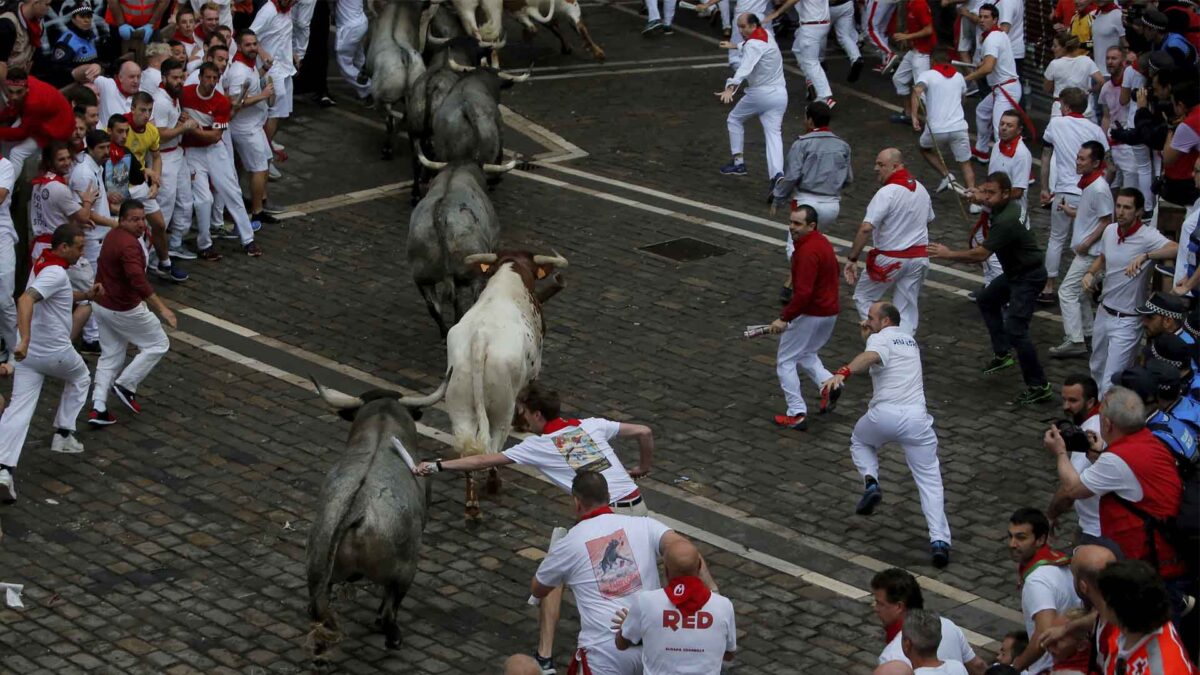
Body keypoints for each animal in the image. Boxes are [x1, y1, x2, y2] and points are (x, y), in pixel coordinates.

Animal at [304, 372, 451, 653]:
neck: (382, 431)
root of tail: (356, 508)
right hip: (403, 571)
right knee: (389, 612)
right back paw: (393, 637)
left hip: (317, 570)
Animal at [446, 249, 566, 516]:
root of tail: (480, 339)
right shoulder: (533, 370)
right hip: (501, 409)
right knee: (493, 446)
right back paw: (493, 484)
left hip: (460, 405)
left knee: (467, 450)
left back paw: (472, 504)